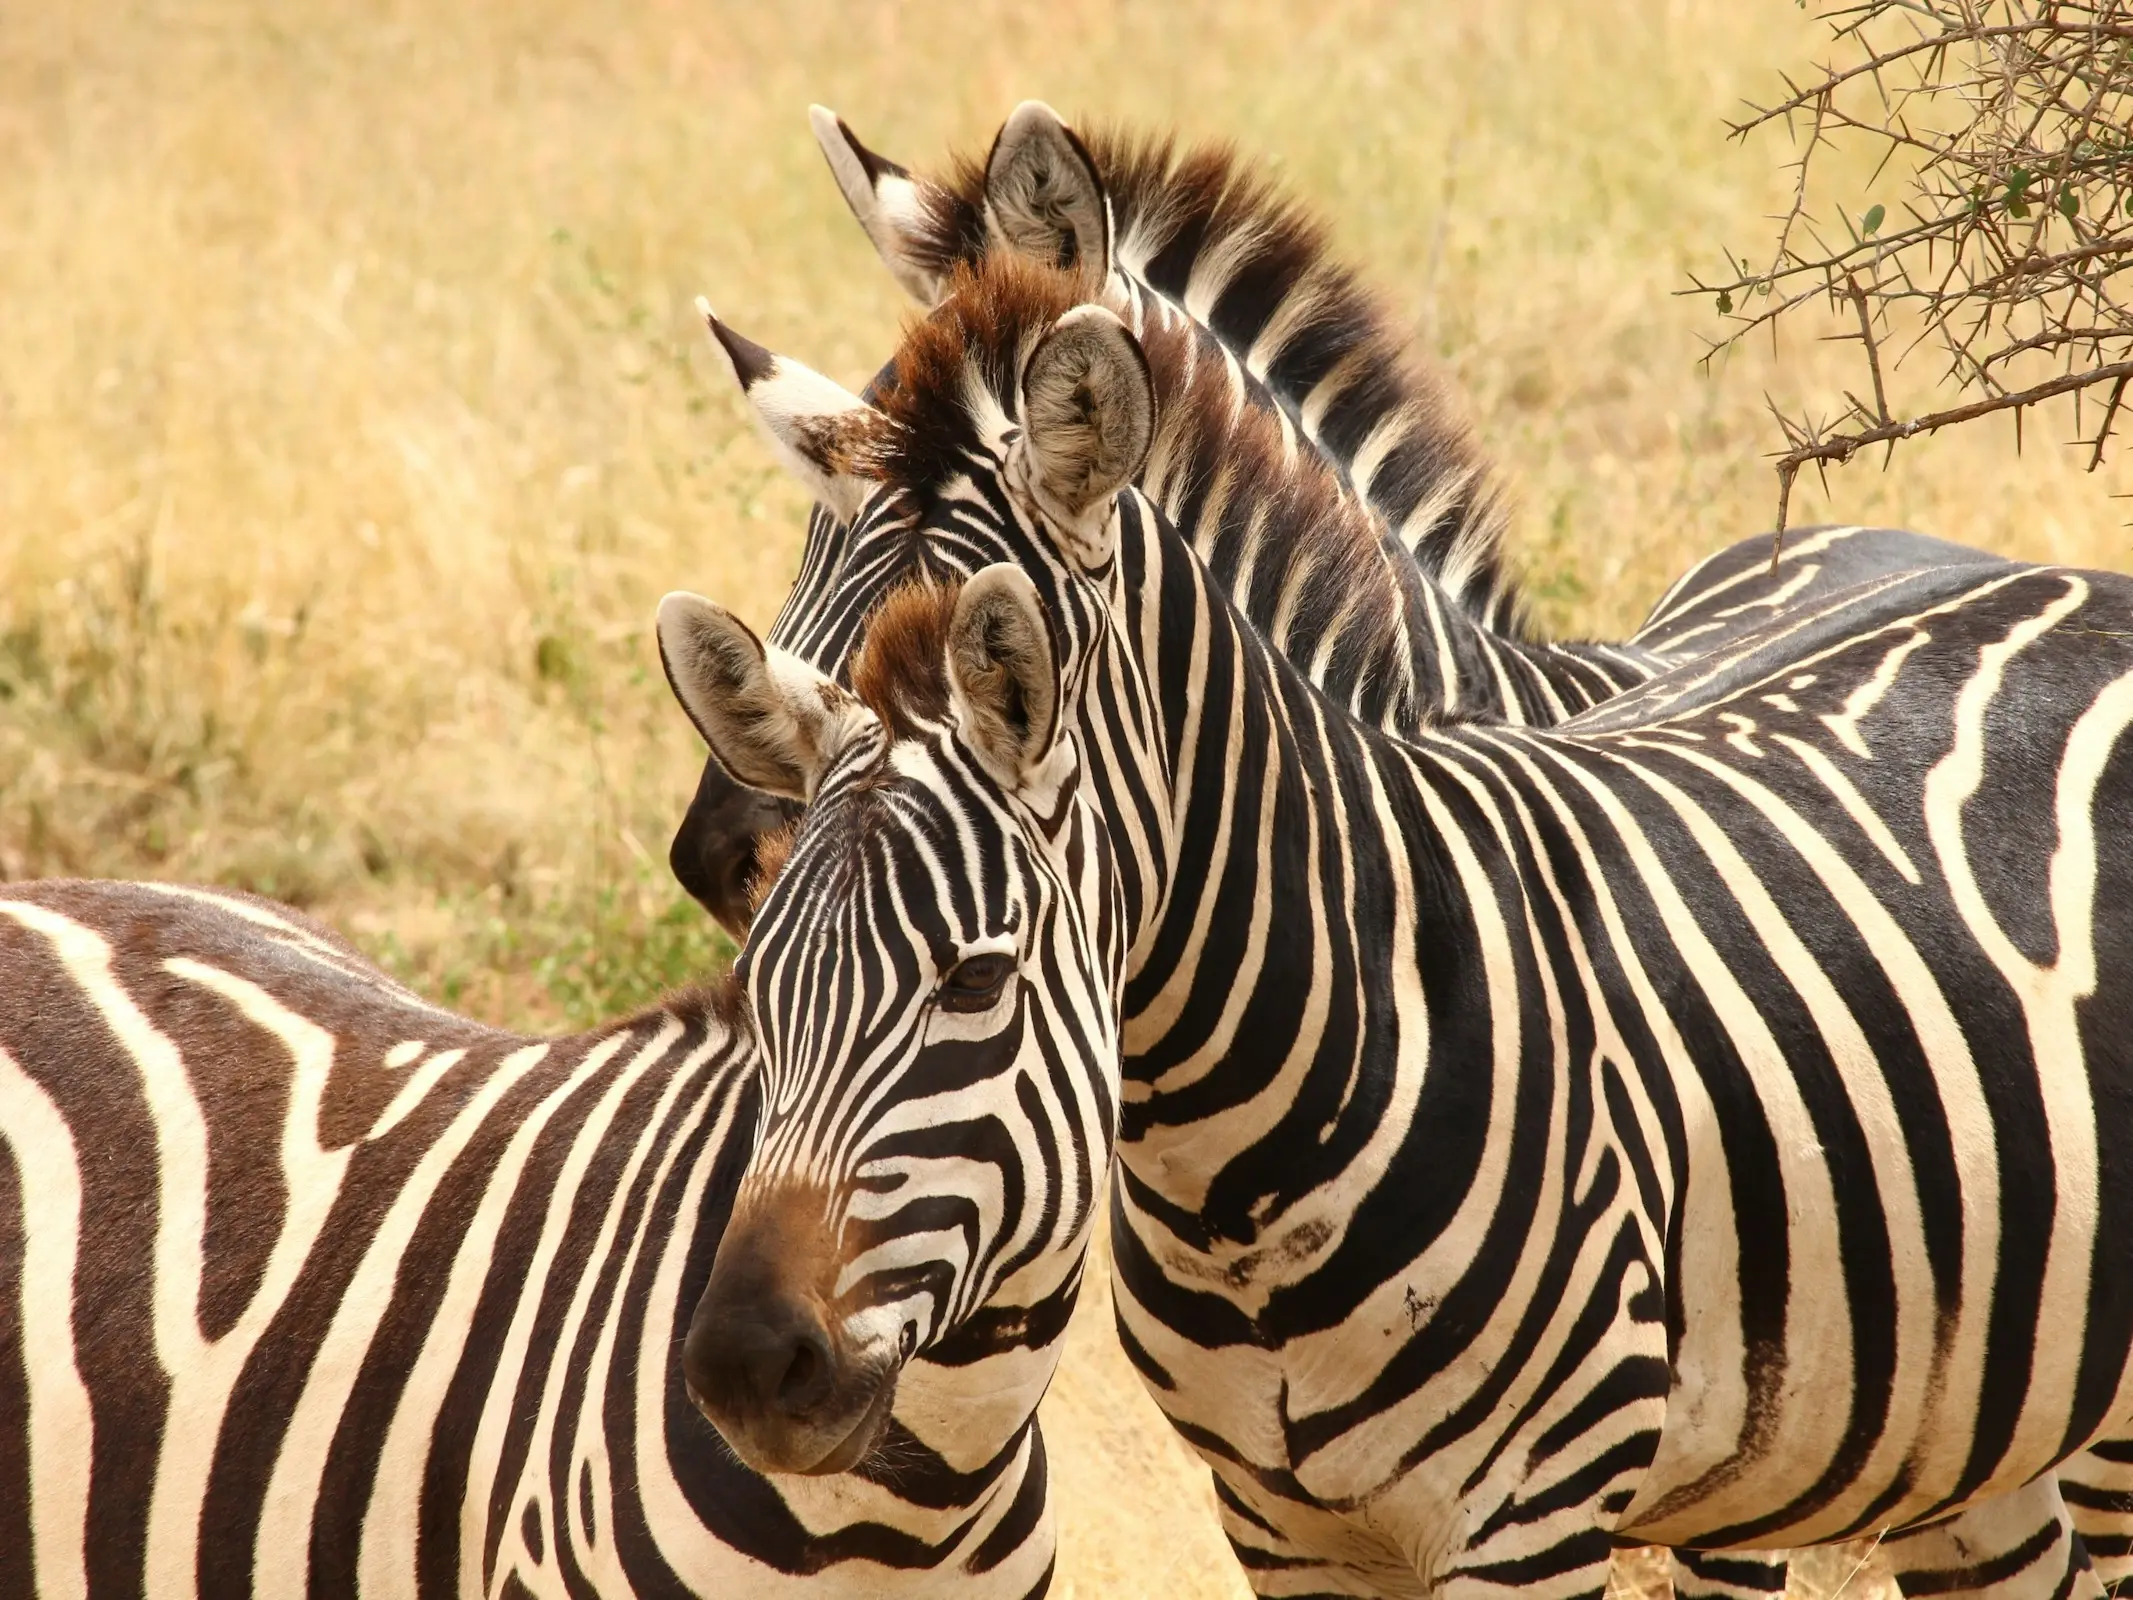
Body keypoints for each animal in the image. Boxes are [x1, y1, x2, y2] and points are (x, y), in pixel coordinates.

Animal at [656, 269, 2133, 1595]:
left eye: (974, 980)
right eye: (763, 983)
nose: (745, 1368)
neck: (1238, 1159)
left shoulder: (1532, 1515)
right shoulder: (1283, 1531)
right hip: (1962, 1424)